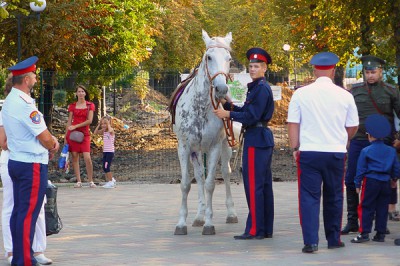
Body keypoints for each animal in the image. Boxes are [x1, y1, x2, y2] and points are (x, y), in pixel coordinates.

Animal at [173, 30, 236, 236]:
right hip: (196, 151)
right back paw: (199, 216)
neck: (200, 107)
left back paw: (230, 213)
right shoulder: (184, 147)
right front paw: (182, 224)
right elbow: (186, 184)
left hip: (225, 147)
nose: (222, 89)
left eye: (229, 59)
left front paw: (209, 223)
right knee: (199, 175)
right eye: (208, 57)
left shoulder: (215, 146)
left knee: (225, 173)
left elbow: (210, 184)